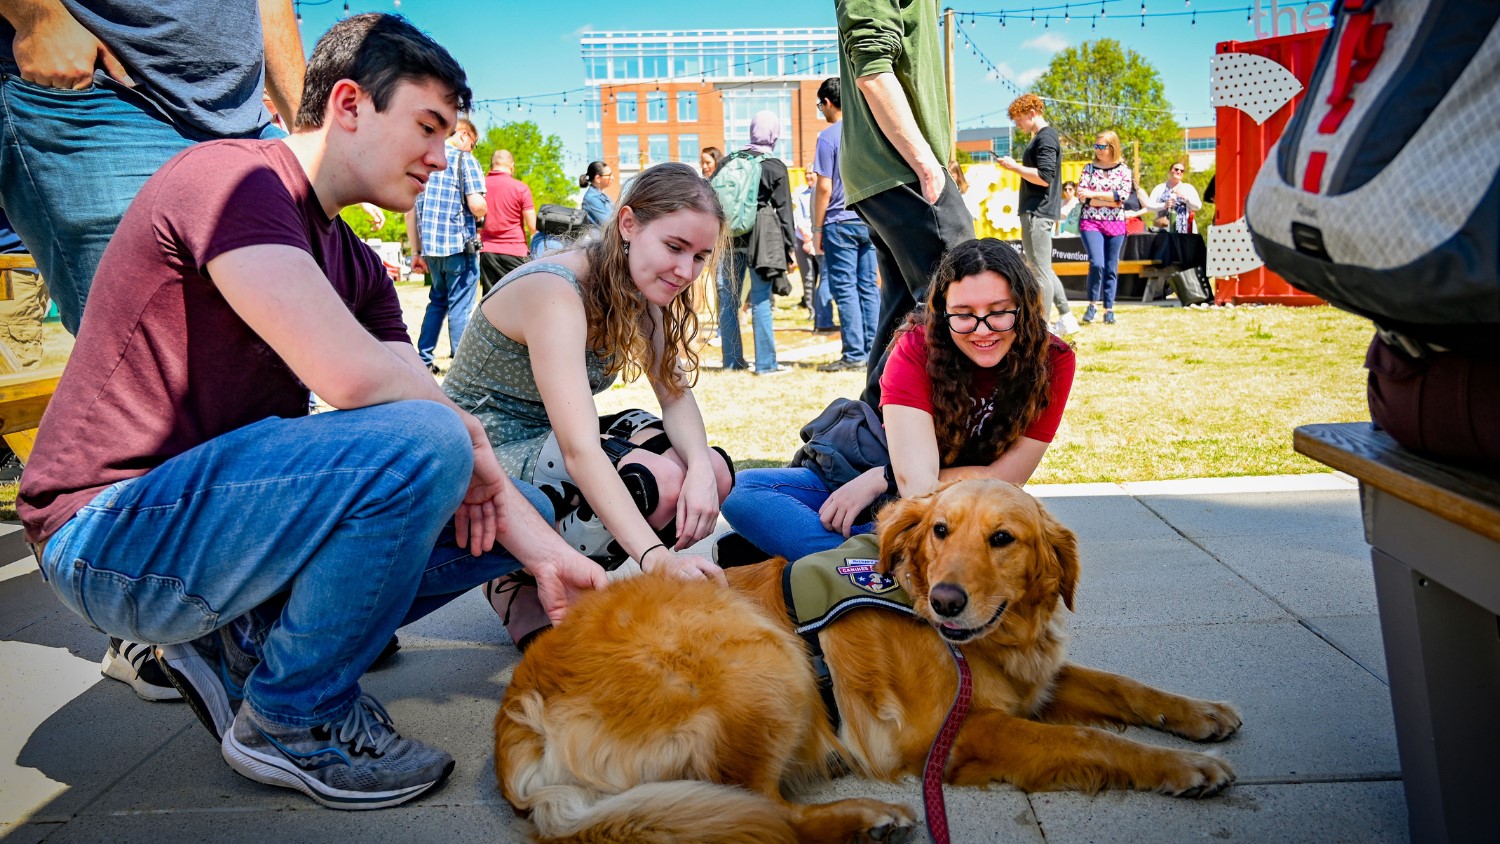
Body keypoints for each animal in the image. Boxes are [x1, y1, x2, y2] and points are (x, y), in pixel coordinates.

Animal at [498, 479, 1236, 839]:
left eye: (1003, 539)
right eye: (940, 530)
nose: (945, 600)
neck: (990, 639)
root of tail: (519, 713)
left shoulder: (1037, 681)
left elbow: (1124, 687)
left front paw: (1200, 714)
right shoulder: (951, 732)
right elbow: (1088, 739)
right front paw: (1181, 767)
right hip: (767, 657)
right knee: (762, 811)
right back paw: (863, 818)